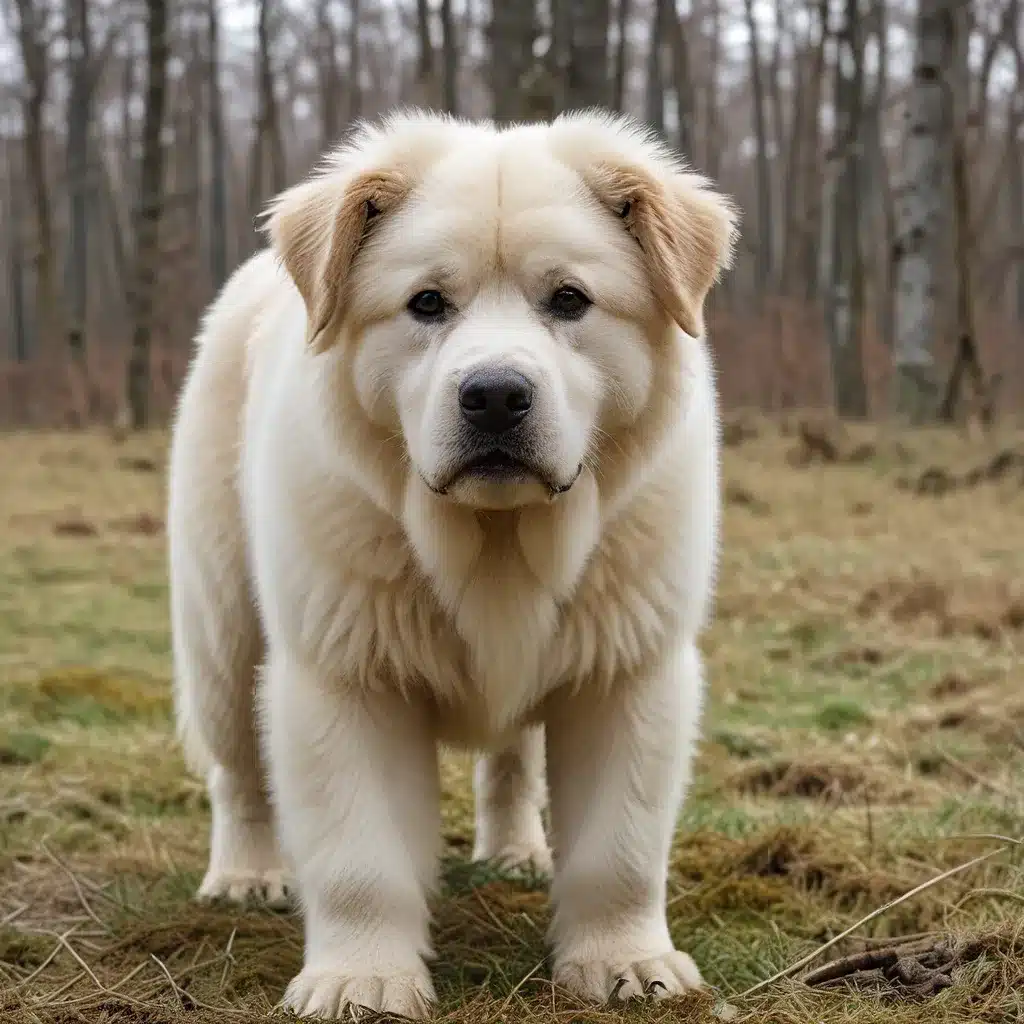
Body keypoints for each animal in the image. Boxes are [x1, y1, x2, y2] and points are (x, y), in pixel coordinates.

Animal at [172, 108, 741, 1019]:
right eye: (426, 303)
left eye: (570, 300)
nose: (496, 395)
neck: (495, 536)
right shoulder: (346, 671)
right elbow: (360, 857)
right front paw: (361, 978)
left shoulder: (628, 669)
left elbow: (618, 848)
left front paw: (623, 961)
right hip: (220, 621)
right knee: (237, 770)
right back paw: (247, 875)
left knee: (509, 766)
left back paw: (515, 853)